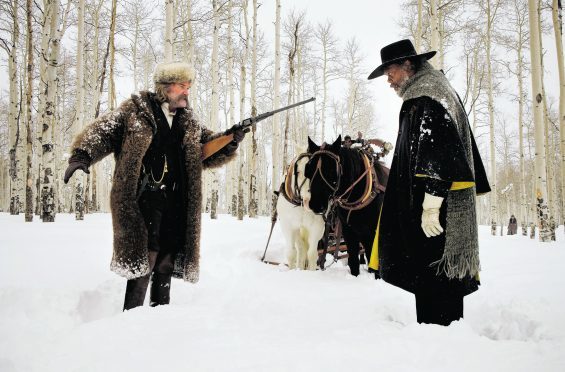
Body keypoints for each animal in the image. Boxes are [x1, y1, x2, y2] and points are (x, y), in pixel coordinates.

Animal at [304, 136, 388, 276]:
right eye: (308, 171)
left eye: (331, 170)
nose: (315, 204)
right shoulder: (350, 231)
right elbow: (353, 261)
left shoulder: (374, 234)